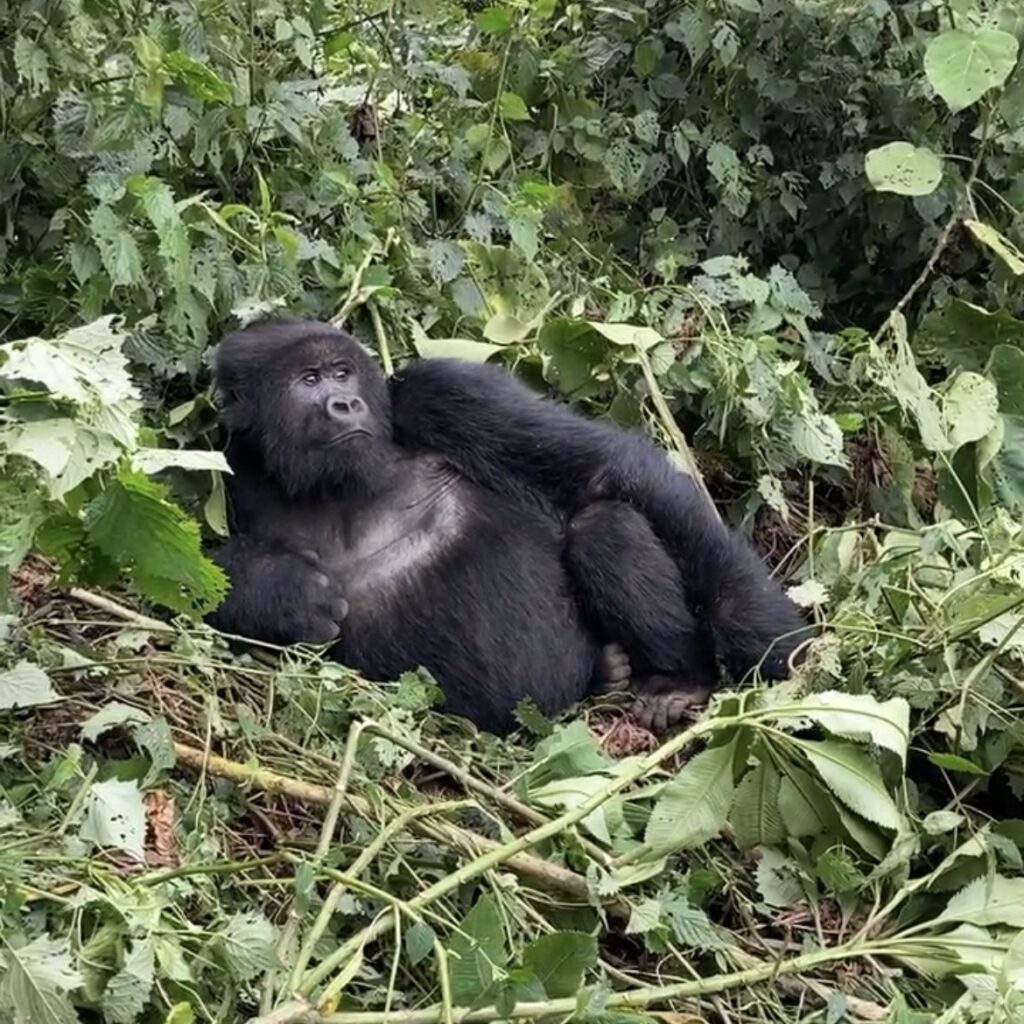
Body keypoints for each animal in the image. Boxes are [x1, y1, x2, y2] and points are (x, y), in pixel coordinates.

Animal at [203, 315, 802, 733]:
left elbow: (600, 471)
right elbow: (196, 581)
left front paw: (765, 635)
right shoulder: (233, 465)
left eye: (342, 372)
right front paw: (284, 591)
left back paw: (681, 679)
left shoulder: (441, 391)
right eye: (308, 380)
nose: (344, 404)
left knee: (603, 525)